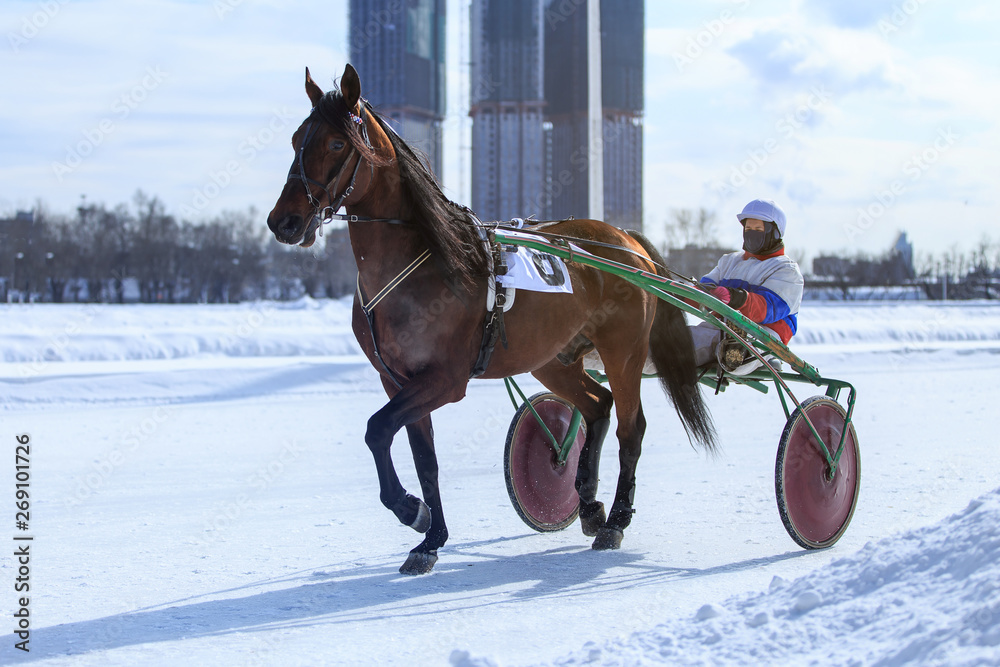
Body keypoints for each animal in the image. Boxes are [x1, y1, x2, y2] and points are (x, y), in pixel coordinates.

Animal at [266, 64, 720, 576]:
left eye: (337, 143)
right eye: (296, 138)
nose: (283, 221)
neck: (420, 263)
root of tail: (625, 238)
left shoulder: (445, 378)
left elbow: (377, 430)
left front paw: (410, 510)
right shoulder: (397, 378)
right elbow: (423, 457)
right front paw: (430, 538)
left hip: (623, 350)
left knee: (631, 426)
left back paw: (616, 518)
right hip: (551, 357)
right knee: (596, 405)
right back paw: (586, 502)